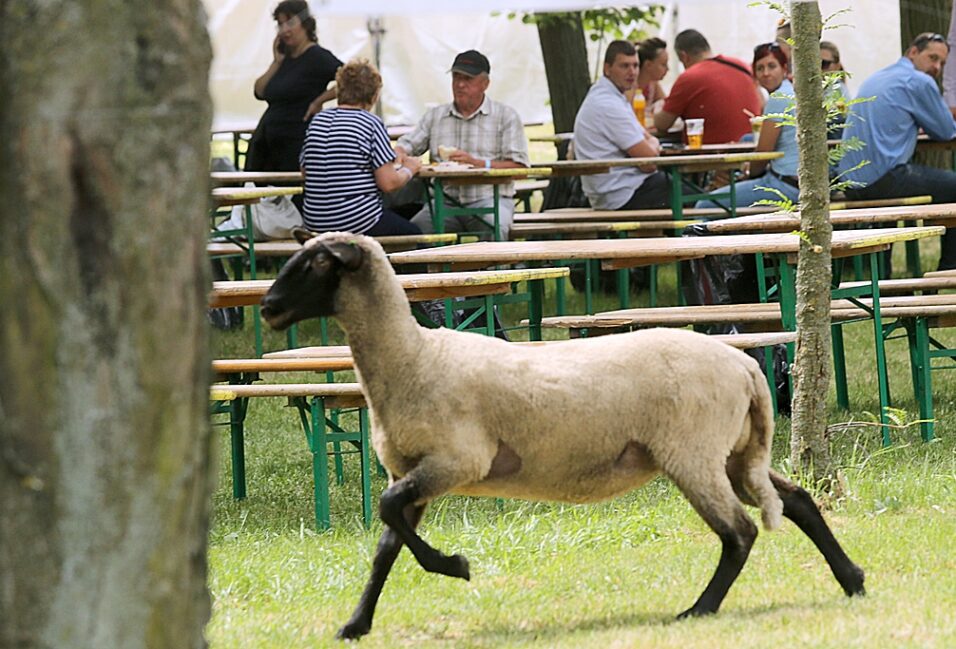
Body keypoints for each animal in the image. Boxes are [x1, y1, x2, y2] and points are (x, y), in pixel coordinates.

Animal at [260, 228, 868, 636]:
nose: (266, 307)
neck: (413, 359)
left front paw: (454, 566)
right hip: (732, 453)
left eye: (316, 264)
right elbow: (387, 543)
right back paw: (853, 579)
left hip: (693, 452)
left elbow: (387, 515)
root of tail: (744, 367)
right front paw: (355, 625)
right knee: (798, 500)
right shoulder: (412, 471)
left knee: (738, 532)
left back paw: (699, 609)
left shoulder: (457, 461)